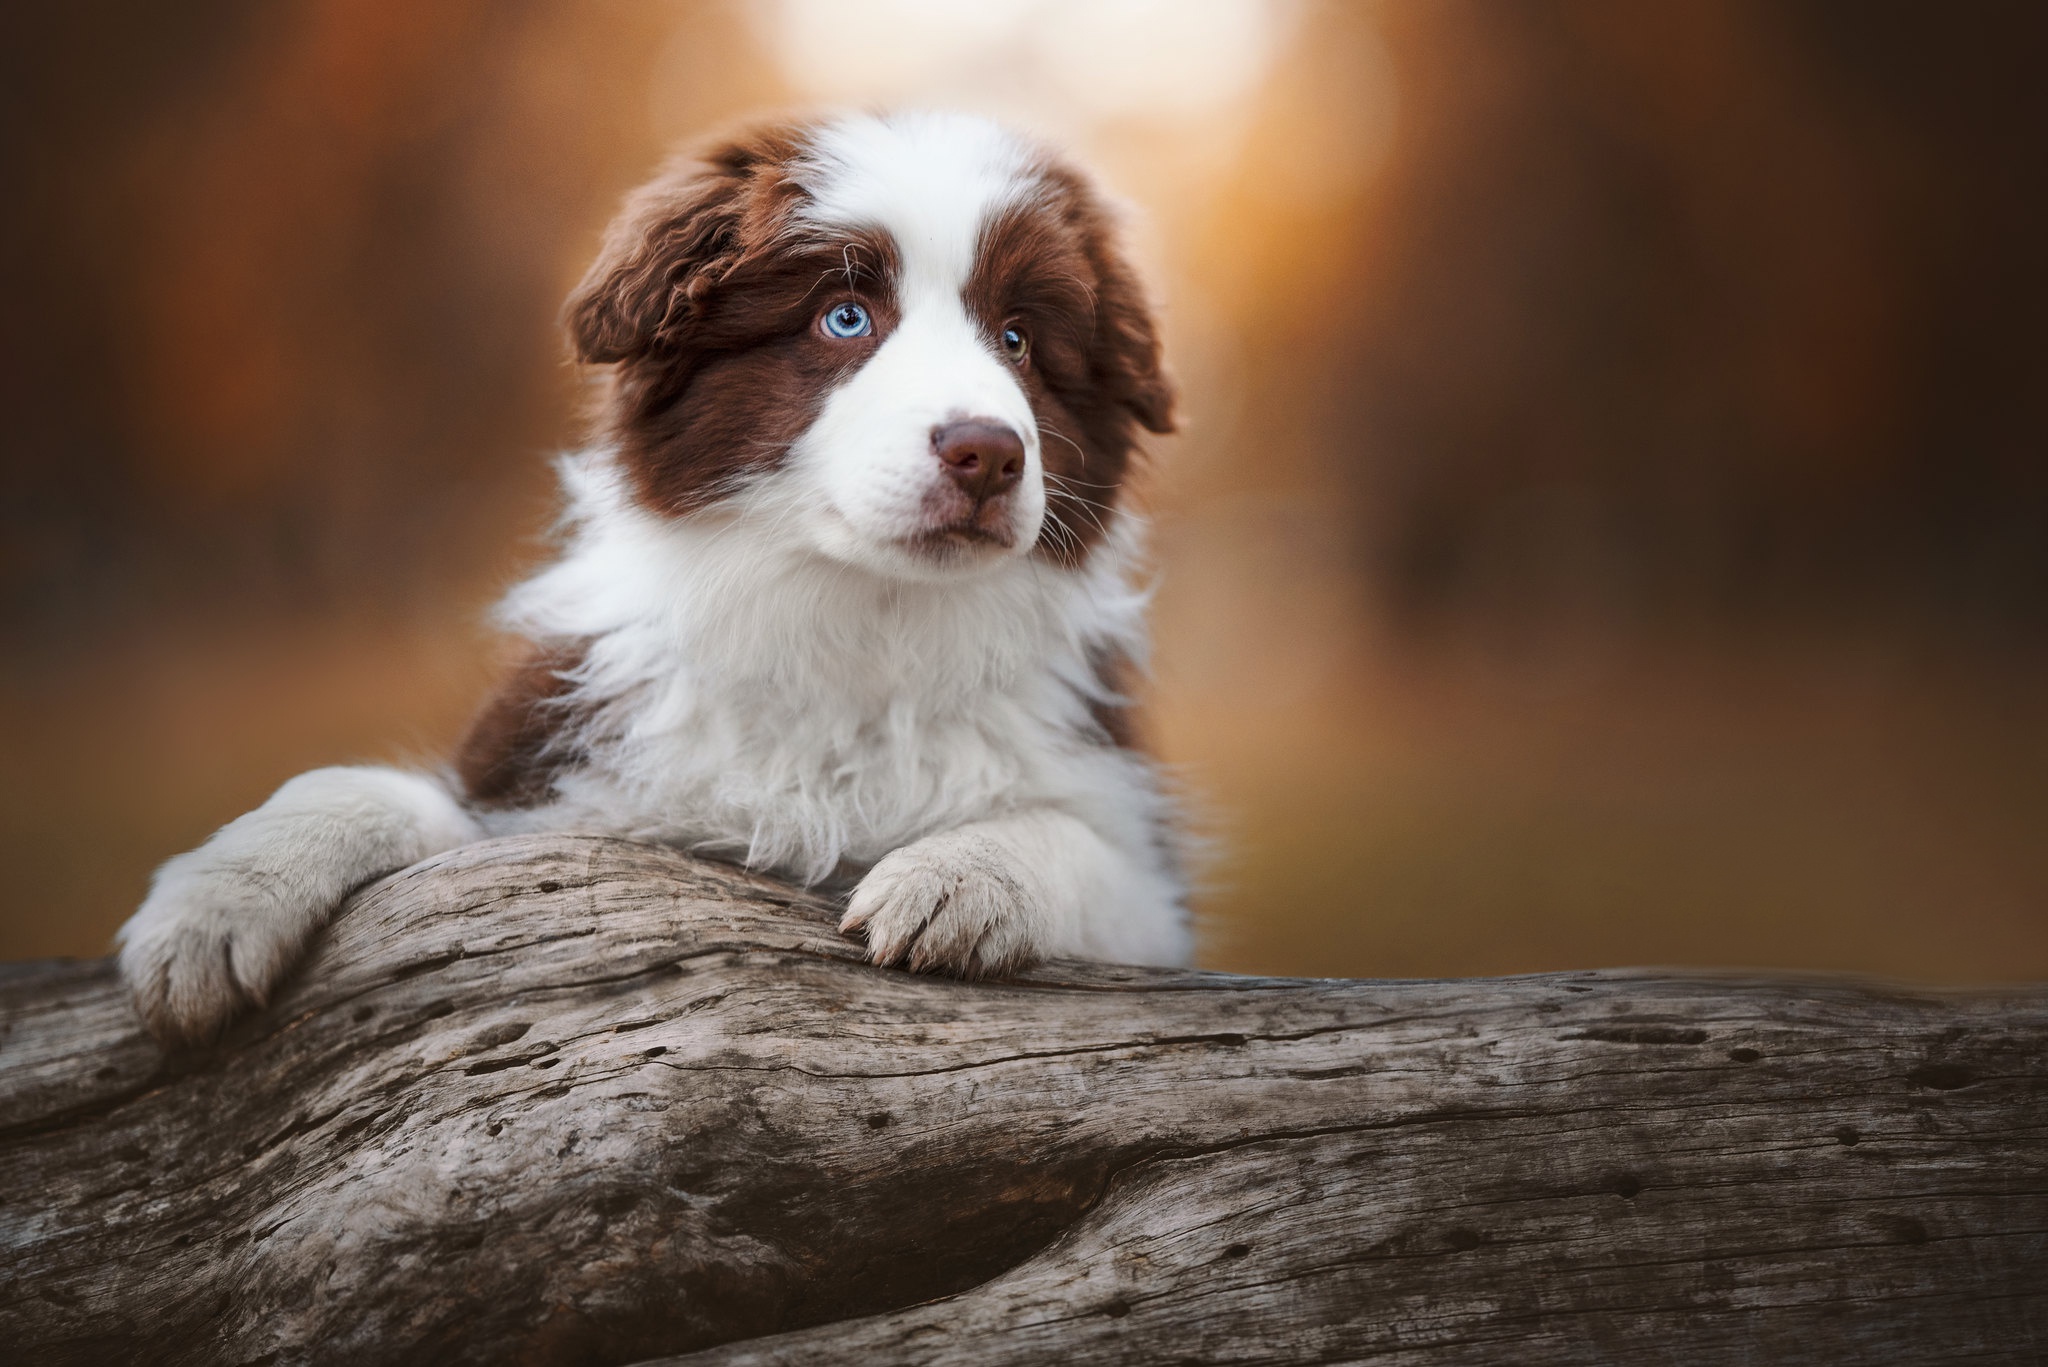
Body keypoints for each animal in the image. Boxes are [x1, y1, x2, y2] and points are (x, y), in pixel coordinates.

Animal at [119, 109, 1187, 1049]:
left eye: (1017, 341)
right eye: (844, 317)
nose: (989, 453)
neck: (857, 626)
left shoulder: (1140, 868)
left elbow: (1083, 847)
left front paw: (964, 872)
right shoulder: (552, 787)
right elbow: (366, 790)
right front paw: (213, 905)